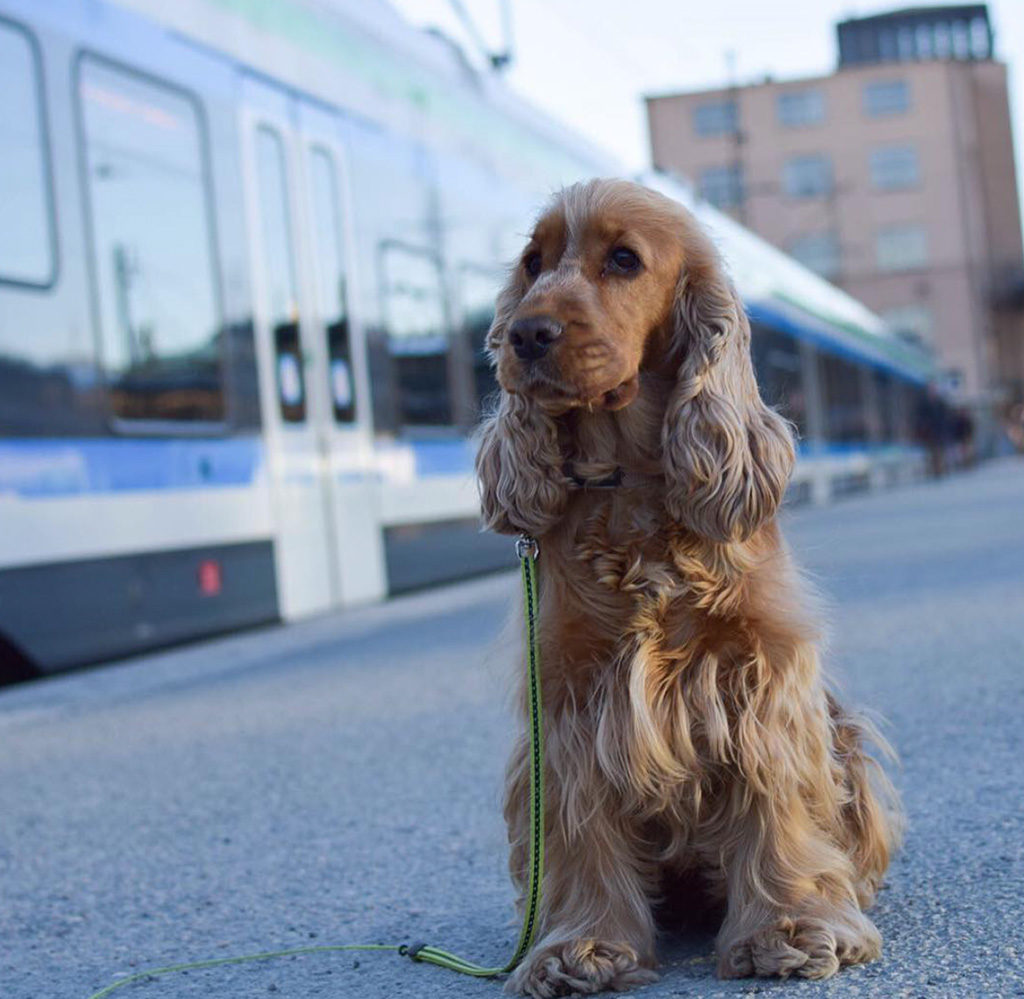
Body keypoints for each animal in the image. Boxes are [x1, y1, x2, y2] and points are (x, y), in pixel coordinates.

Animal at [475, 181, 901, 998]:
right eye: (533, 262)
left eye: (623, 259)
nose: (525, 333)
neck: (630, 484)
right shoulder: (571, 698)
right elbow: (579, 829)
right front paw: (579, 946)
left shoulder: (759, 673)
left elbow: (776, 804)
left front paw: (787, 928)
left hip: (848, 735)